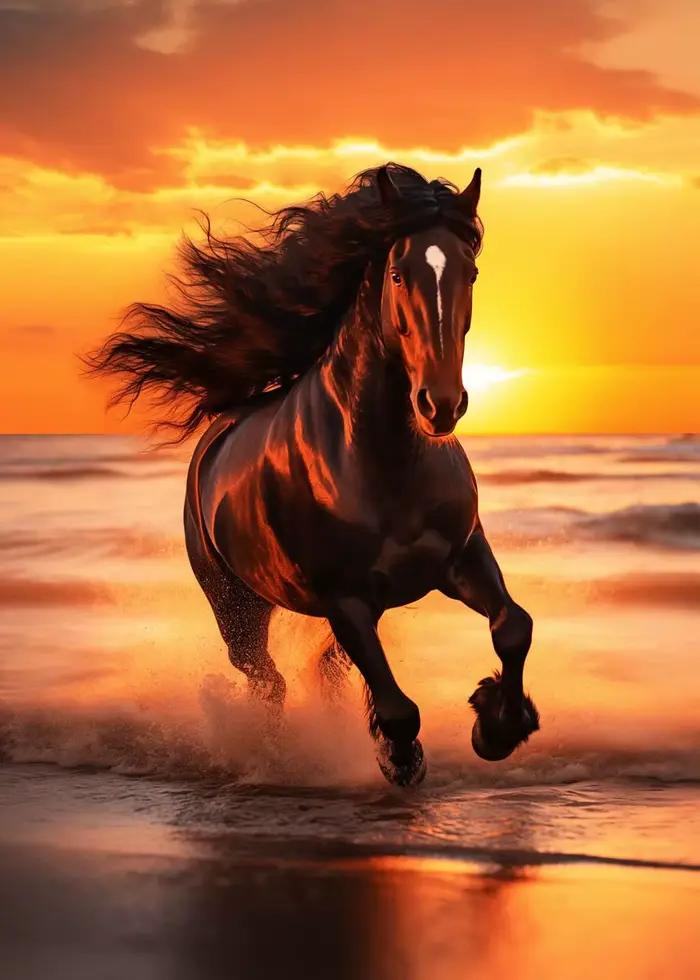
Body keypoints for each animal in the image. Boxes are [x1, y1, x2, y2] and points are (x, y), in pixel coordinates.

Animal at [89, 162, 539, 786]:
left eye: (469, 271)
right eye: (397, 274)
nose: (441, 404)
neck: (384, 462)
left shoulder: (460, 557)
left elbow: (513, 626)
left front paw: (496, 726)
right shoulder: (343, 598)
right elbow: (398, 709)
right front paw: (403, 759)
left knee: (318, 672)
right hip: (238, 609)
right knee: (268, 681)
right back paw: (272, 756)